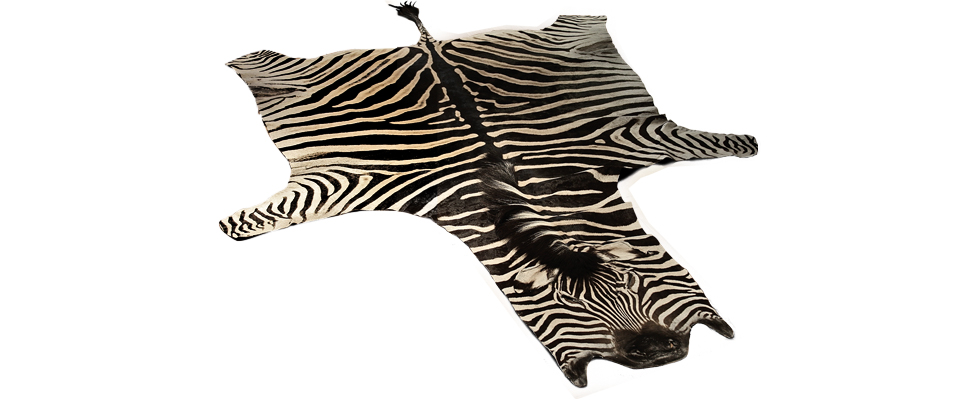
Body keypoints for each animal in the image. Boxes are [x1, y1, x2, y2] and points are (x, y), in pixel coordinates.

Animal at [219, 3, 758, 387]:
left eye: (633, 285)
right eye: (565, 303)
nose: (658, 353)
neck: (530, 204)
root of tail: (430, 47)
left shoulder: (625, 138)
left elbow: (726, 144)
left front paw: (745, 142)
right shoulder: (354, 182)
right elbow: (249, 224)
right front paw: (230, 227)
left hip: (565, 43)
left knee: (581, 21)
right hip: (290, 74)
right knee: (259, 61)